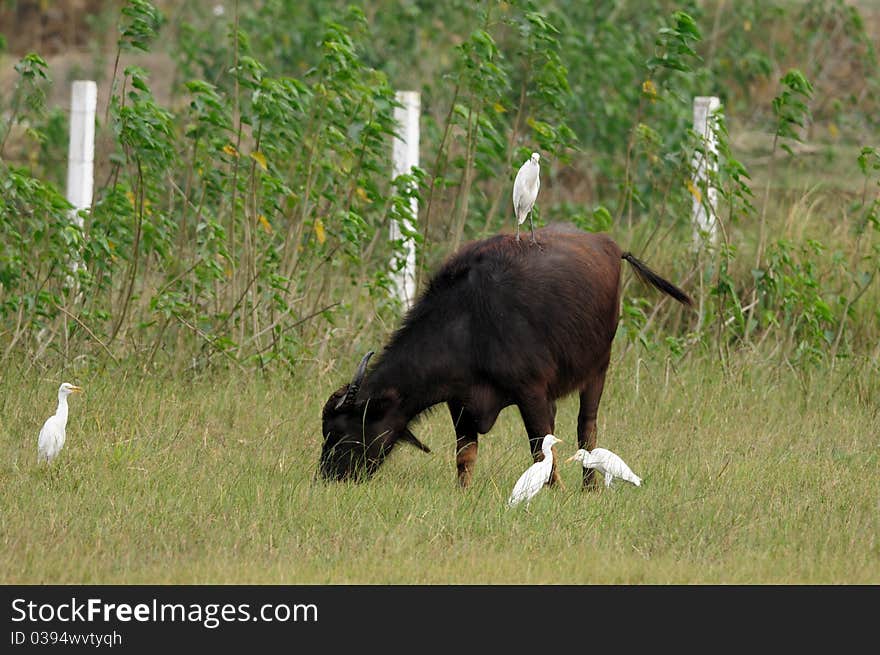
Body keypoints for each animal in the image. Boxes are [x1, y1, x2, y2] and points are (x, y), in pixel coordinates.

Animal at [320, 224, 692, 486]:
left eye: (341, 432)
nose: (327, 478)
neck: (469, 324)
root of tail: (608, 245)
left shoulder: (531, 392)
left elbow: (541, 451)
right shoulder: (461, 403)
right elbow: (465, 456)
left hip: (598, 369)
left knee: (587, 428)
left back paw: (590, 487)